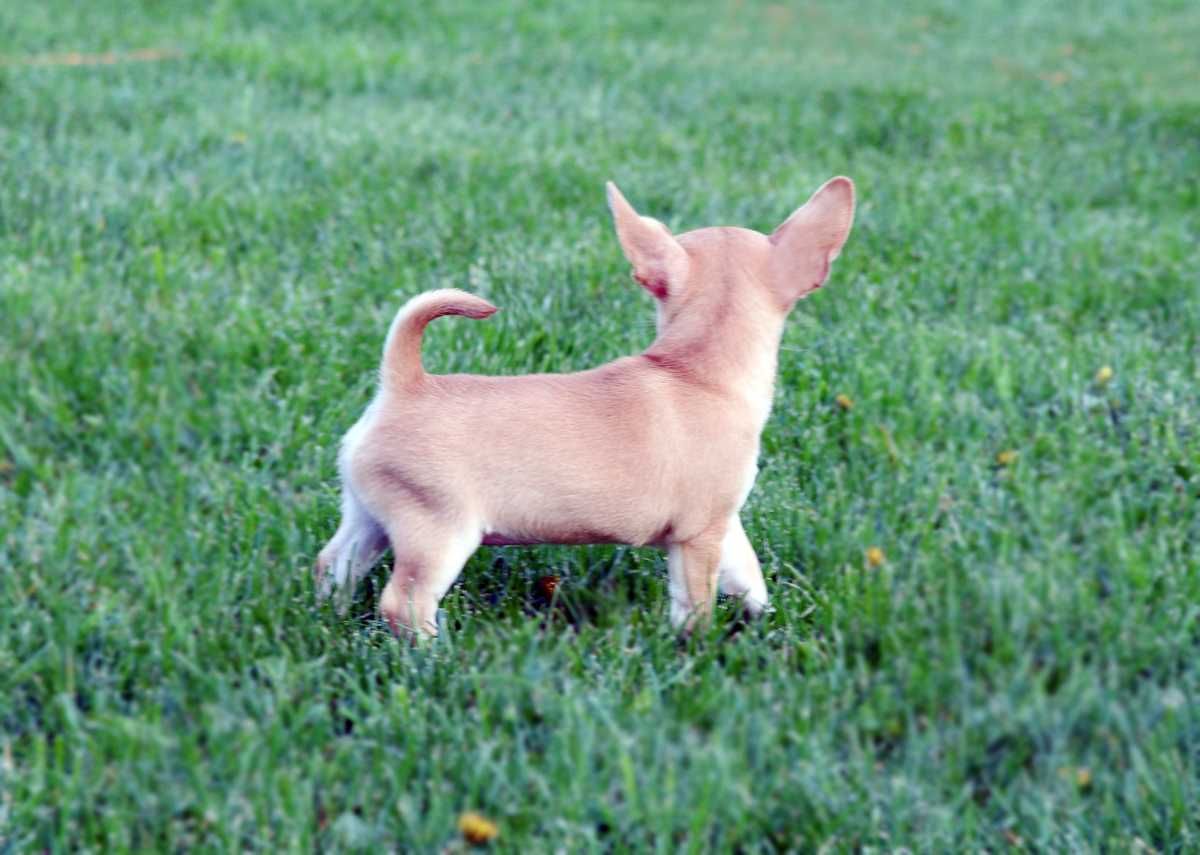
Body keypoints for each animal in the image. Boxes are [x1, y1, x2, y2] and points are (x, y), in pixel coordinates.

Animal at [319, 178, 854, 634]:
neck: (692, 368)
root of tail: (403, 383)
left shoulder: (725, 523)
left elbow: (747, 570)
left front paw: (763, 615)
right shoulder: (698, 534)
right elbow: (695, 601)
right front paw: (695, 648)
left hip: (368, 517)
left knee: (333, 564)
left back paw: (329, 617)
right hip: (439, 531)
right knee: (404, 603)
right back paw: (435, 653)